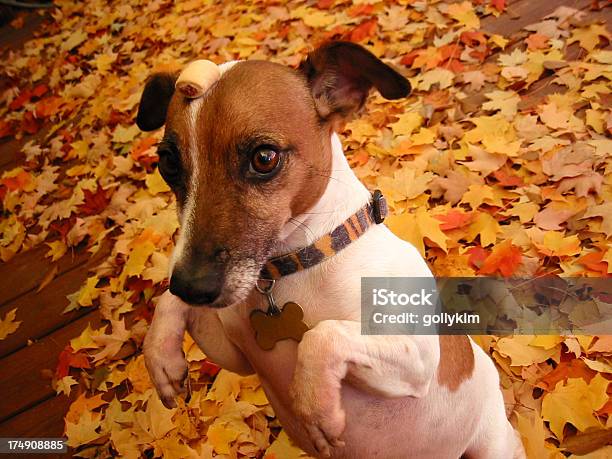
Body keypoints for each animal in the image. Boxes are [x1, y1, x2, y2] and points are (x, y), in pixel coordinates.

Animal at [136, 41, 524, 458]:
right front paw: (161, 357)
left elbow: (322, 335)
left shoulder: (416, 358)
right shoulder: (237, 356)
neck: (299, 263)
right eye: (166, 162)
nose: (191, 286)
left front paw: (315, 406)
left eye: (264, 157)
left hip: (491, 445)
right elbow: (167, 303)